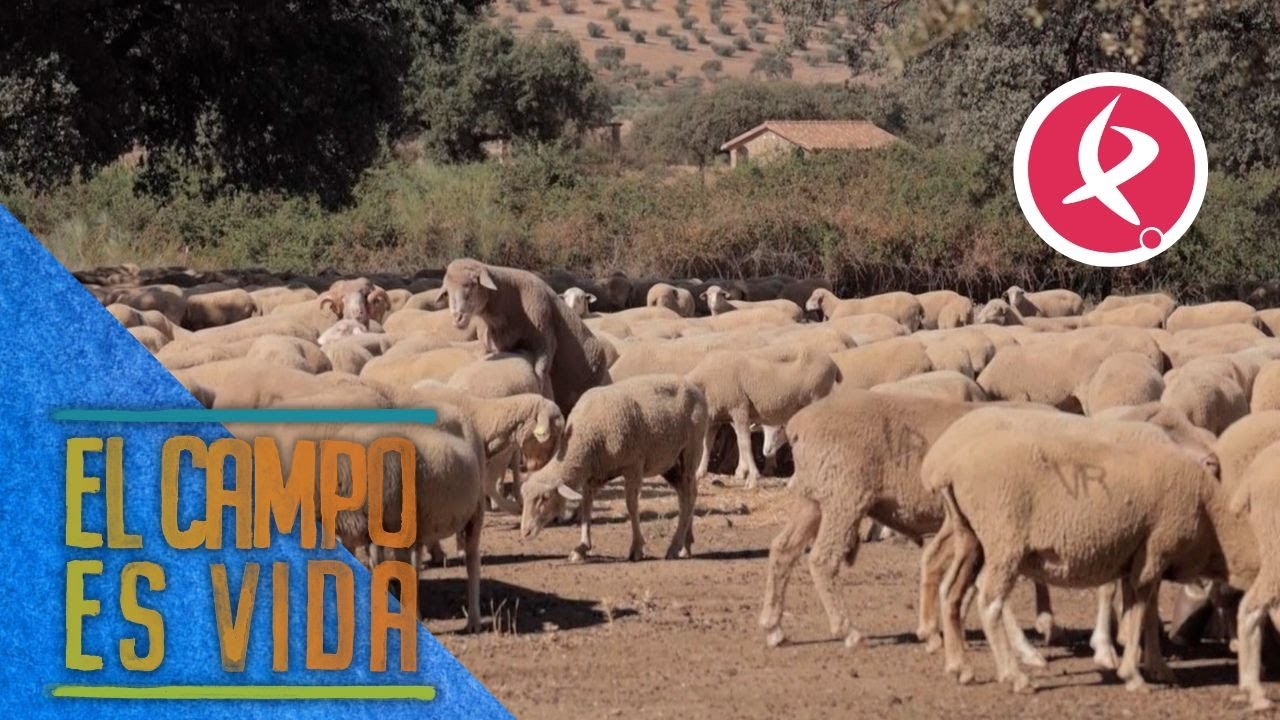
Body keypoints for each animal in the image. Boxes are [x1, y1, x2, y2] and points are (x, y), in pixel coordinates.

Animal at [519, 375, 708, 562]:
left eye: (545, 498)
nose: (525, 532)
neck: (586, 436)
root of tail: (693, 387)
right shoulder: (594, 473)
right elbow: (586, 505)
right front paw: (582, 548)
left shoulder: (634, 465)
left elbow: (631, 505)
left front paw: (637, 548)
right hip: (669, 461)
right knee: (685, 495)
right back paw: (686, 545)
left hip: (691, 450)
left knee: (689, 495)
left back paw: (675, 547)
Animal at [687, 344, 841, 488]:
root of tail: (833, 363)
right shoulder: (715, 417)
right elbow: (707, 444)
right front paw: (699, 473)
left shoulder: (739, 408)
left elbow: (744, 443)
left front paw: (753, 477)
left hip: (817, 397)